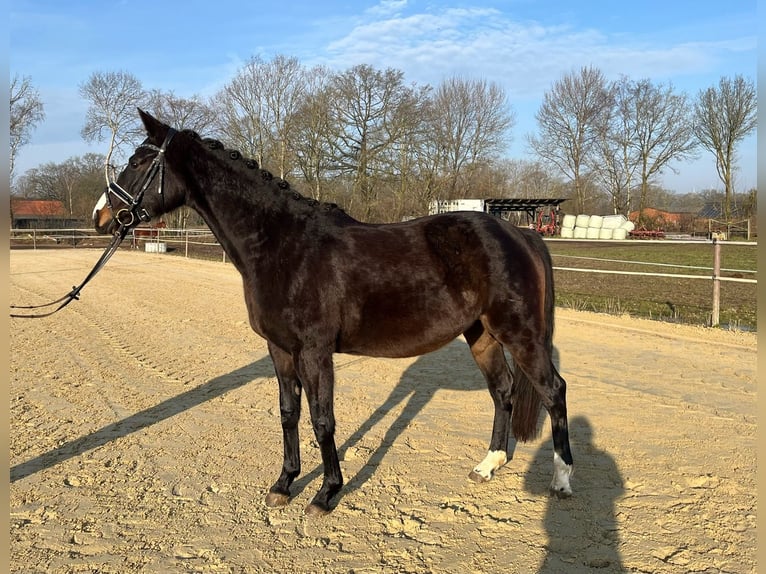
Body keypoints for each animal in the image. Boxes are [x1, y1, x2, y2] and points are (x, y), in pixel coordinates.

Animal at [91, 109, 576, 516]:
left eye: (138, 161)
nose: (102, 216)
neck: (283, 245)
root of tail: (518, 232)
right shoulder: (280, 349)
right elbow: (288, 413)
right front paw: (284, 485)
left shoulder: (315, 351)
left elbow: (322, 420)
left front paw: (326, 494)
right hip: (483, 335)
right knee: (503, 390)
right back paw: (488, 465)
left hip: (521, 333)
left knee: (553, 390)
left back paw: (561, 481)